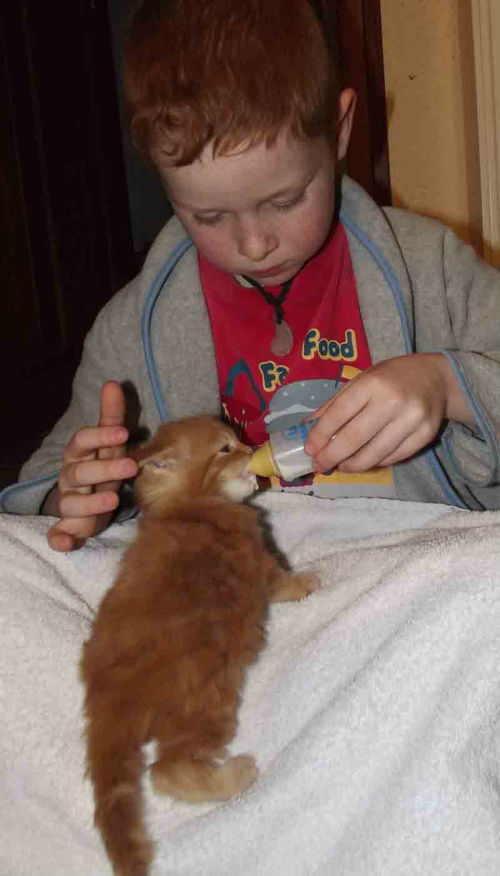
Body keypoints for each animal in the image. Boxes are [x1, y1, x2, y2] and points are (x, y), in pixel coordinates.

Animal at [81, 416, 316, 876]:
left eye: (238, 440)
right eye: (225, 449)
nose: (253, 449)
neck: (190, 506)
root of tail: (112, 696)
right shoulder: (260, 561)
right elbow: (282, 581)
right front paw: (307, 581)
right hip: (207, 705)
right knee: (166, 771)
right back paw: (236, 776)